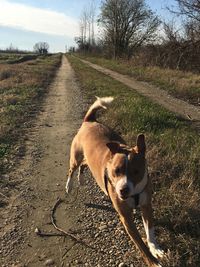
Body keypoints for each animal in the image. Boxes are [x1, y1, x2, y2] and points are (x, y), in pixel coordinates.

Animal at [65, 97, 164, 266]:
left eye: (136, 172)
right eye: (116, 171)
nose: (123, 190)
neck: (134, 194)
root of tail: (90, 121)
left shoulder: (146, 205)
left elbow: (150, 231)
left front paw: (155, 248)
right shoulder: (126, 217)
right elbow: (140, 243)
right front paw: (151, 261)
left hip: (87, 159)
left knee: (84, 166)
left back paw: (82, 180)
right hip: (76, 156)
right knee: (73, 168)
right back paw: (69, 185)